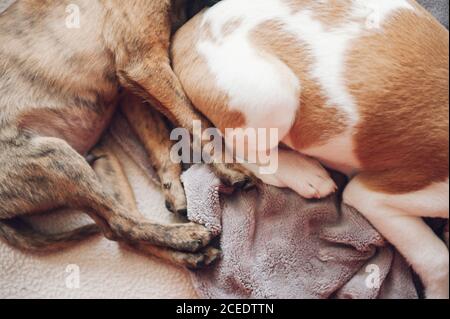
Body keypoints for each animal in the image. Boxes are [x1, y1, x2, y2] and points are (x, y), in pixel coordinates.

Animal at [0, 0, 248, 270]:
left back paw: (192, 255)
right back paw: (189, 236)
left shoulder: (131, 91)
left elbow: (159, 141)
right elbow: (192, 117)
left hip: (101, 162)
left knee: (123, 234)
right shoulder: (144, 64)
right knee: (120, 224)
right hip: (56, 157)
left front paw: (174, 190)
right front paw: (229, 167)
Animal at [171, 0, 448, 300]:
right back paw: (301, 172)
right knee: (234, 146)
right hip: (273, 96)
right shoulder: (378, 195)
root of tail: (192, 26)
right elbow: (438, 258)